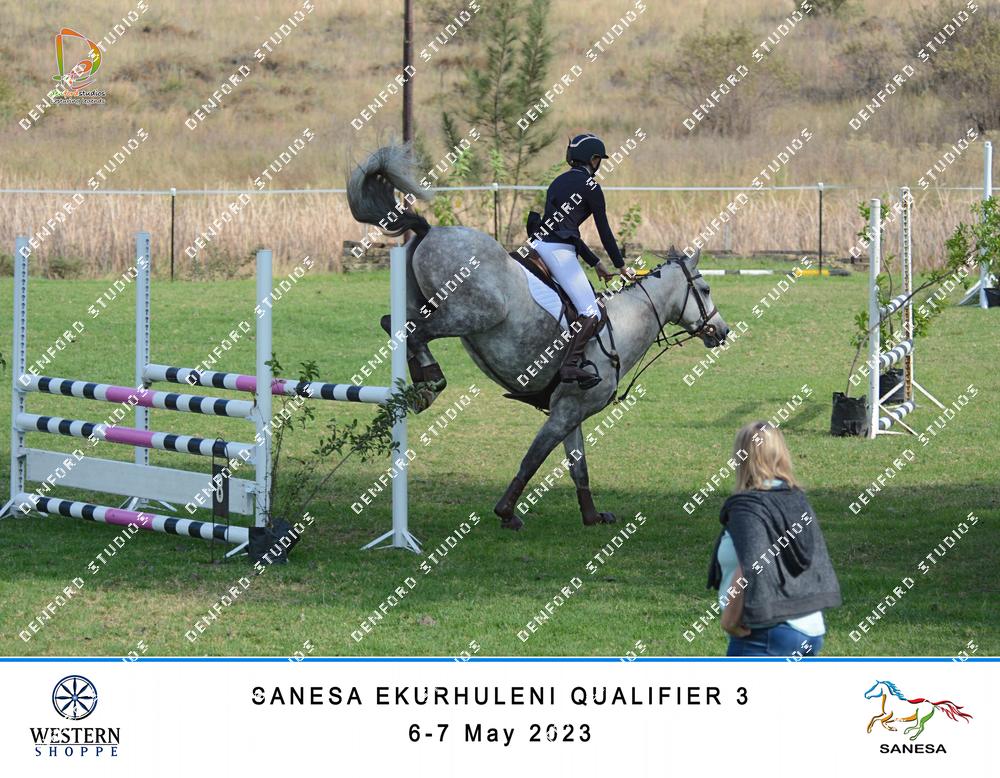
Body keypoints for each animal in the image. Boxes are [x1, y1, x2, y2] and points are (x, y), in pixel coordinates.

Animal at [347, 143, 730, 530]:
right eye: (706, 289)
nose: (722, 331)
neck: (624, 323)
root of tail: (429, 230)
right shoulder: (566, 412)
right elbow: (533, 460)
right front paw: (506, 512)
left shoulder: (571, 410)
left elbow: (579, 467)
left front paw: (591, 515)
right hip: (473, 314)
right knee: (415, 332)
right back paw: (432, 379)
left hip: (429, 305)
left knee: (392, 323)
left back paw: (423, 382)